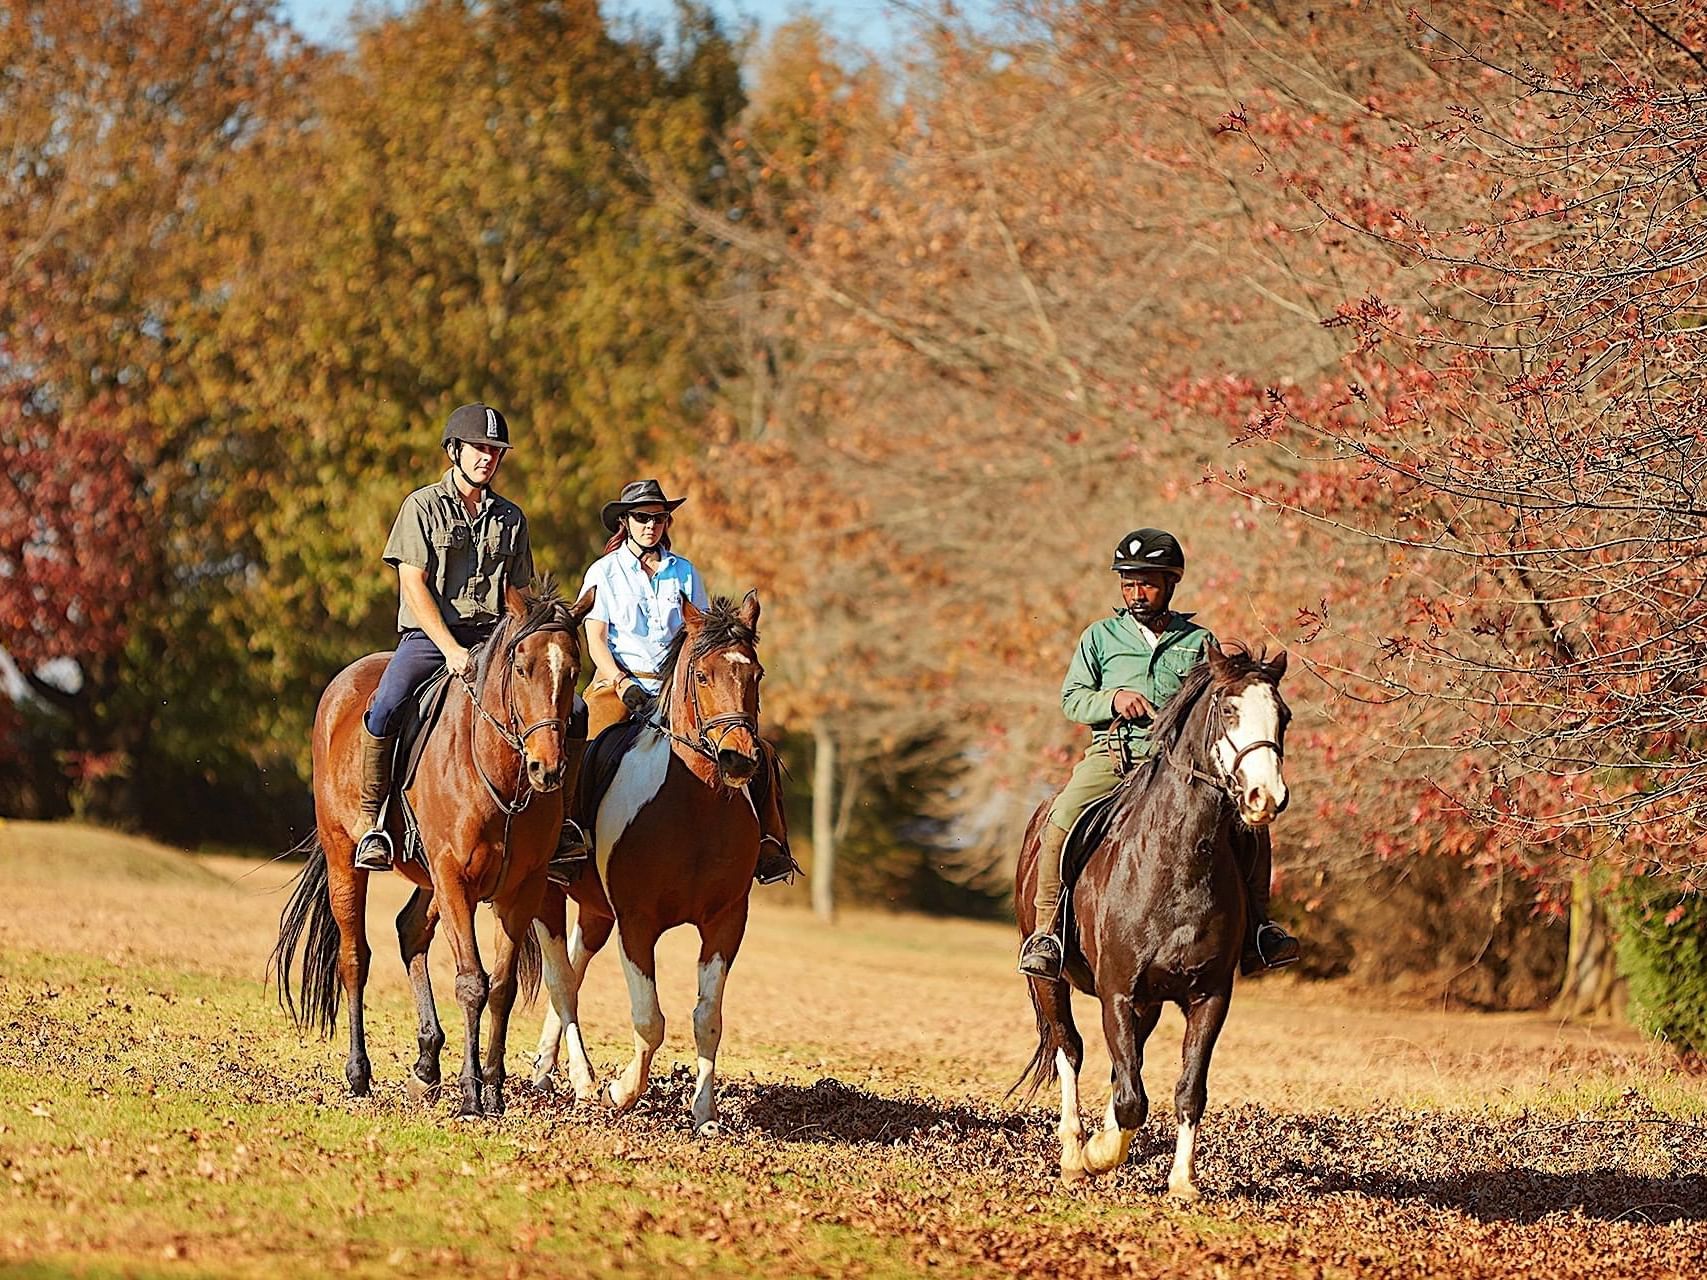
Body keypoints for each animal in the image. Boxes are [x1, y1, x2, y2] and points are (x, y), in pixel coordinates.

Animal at [270, 577, 595, 1117]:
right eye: (521, 666)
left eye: (572, 670)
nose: (547, 770)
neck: (497, 771)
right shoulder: (454, 879)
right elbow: (471, 983)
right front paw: (471, 1094)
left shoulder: (520, 890)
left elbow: (501, 987)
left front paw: (494, 1088)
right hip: (346, 859)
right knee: (355, 958)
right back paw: (359, 1074)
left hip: (427, 878)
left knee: (410, 931)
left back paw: (426, 1064)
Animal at [529, 591, 771, 1136]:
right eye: (701, 675)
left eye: (756, 674)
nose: (739, 760)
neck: (696, 805)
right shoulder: (637, 925)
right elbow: (650, 1020)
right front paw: (620, 1091)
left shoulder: (727, 923)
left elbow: (707, 1018)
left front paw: (704, 1114)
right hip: (548, 895)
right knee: (561, 981)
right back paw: (583, 1080)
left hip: (595, 911)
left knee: (573, 969)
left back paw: (547, 1070)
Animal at [1011, 642, 1290, 1197]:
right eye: (1229, 709)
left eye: (1284, 716)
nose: (1265, 798)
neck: (1177, 862)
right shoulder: (1117, 993)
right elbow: (1131, 1099)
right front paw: (1097, 1154)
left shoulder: (1209, 997)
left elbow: (1186, 1089)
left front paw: (1182, 1182)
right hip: (1049, 982)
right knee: (1070, 1051)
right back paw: (1074, 1156)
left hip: (1151, 1003)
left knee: (1125, 1064)